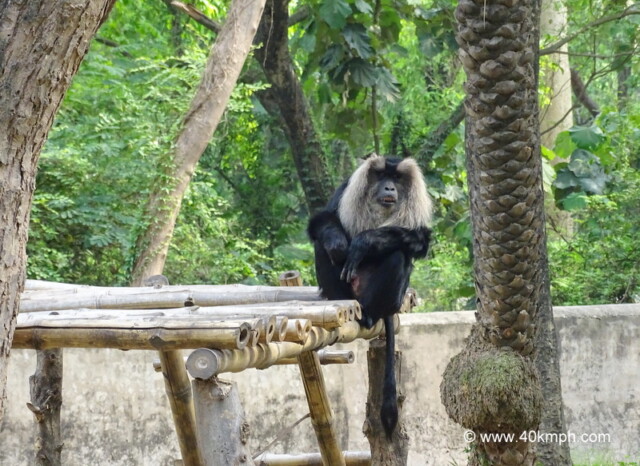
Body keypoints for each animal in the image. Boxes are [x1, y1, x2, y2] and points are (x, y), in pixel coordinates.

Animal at [307, 155, 433, 437]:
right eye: (381, 176)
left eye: (396, 178)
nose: (389, 187)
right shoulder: (345, 188)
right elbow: (323, 220)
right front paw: (339, 243)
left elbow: (419, 238)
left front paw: (364, 243)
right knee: (322, 245)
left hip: (388, 299)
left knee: (398, 255)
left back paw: (367, 315)